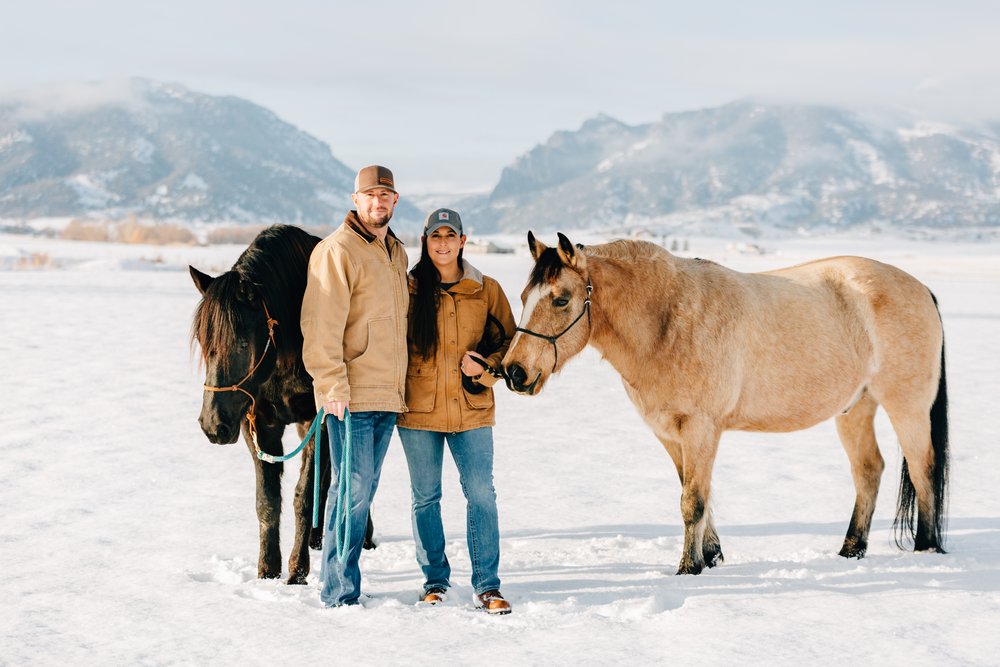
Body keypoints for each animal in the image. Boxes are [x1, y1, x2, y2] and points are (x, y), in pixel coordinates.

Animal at [189, 224, 374, 584]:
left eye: (241, 342)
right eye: (204, 343)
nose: (212, 425)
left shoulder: (320, 420)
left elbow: (304, 494)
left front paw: (297, 569)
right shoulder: (258, 424)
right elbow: (268, 499)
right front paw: (268, 568)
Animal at [504, 234, 948, 576]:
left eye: (561, 300)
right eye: (525, 296)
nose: (514, 371)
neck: (667, 320)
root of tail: (922, 289)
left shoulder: (701, 428)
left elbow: (692, 502)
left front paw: (688, 569)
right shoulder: (670, 433)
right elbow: (693, 492)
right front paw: (711, 556)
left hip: (906, 405)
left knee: (922, 467)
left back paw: (926, 547)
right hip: (855, 408)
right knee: (869, 471)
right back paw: (851, 549)